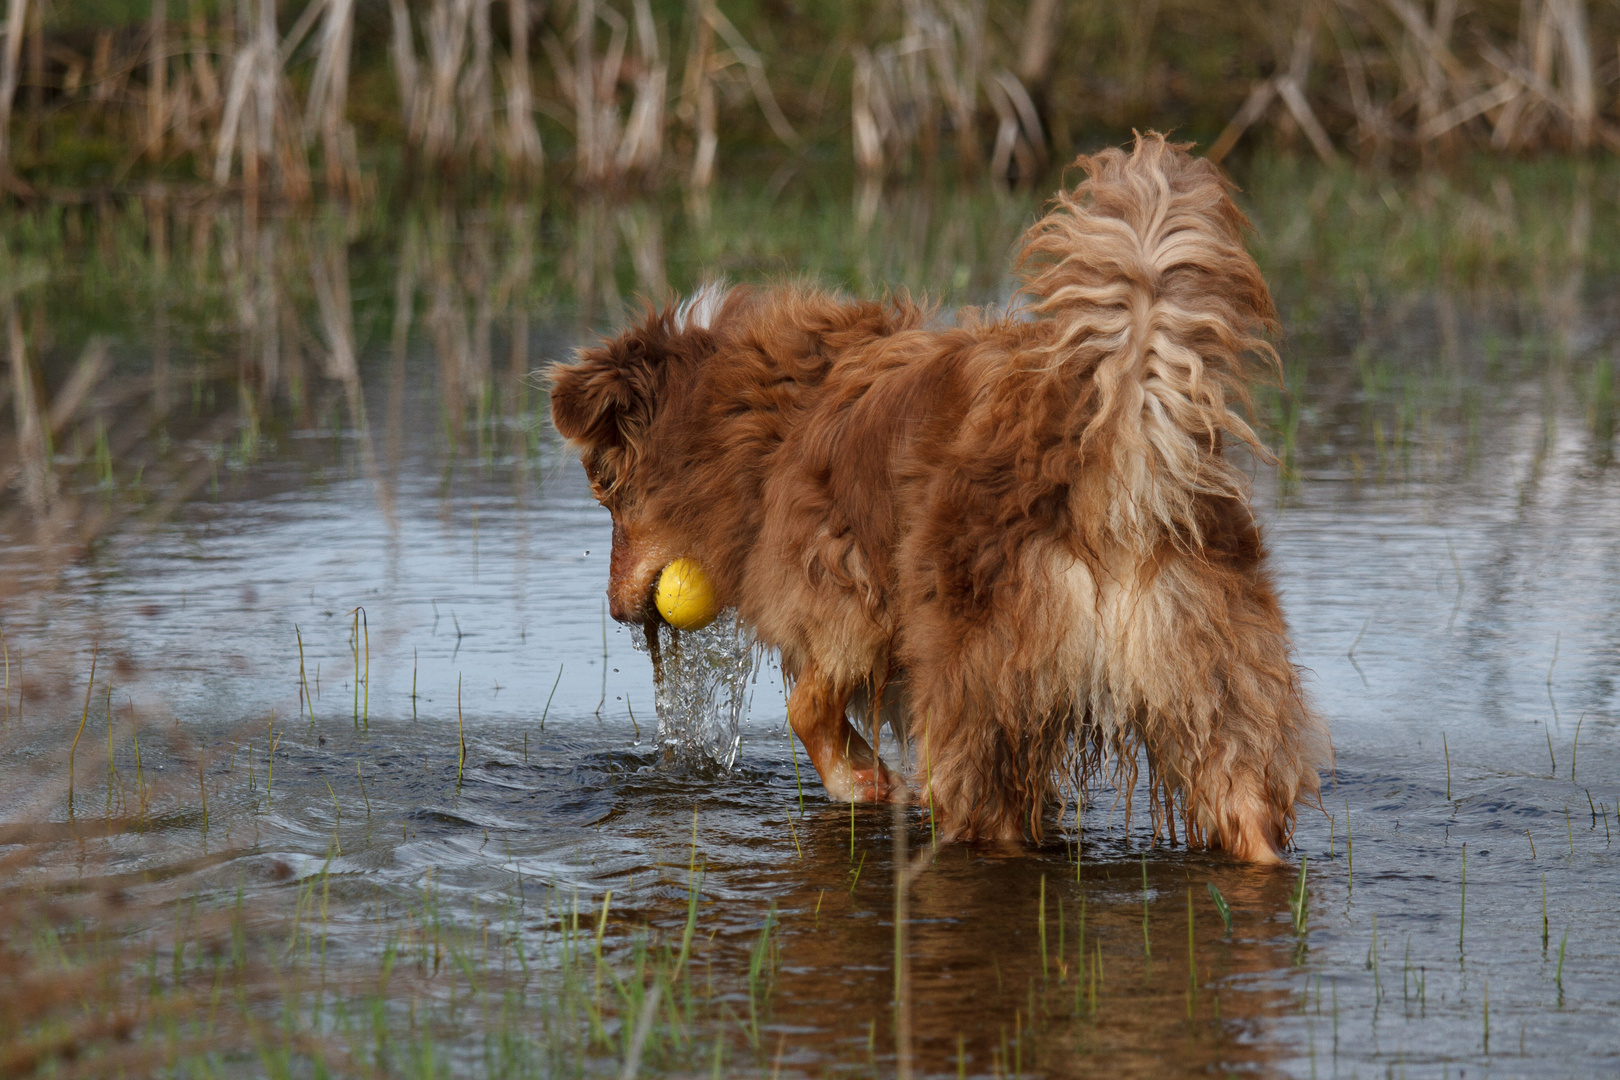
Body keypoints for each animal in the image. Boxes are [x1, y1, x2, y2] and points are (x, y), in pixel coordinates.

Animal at [550, 135, 1334, 861]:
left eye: (606, 489)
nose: (615, 612)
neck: (771, 412)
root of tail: (1113, 466)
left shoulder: (839, 599)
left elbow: (807, 709)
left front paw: (864, 782)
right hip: (1214, 695)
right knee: (1249, 817)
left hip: (978, 697)